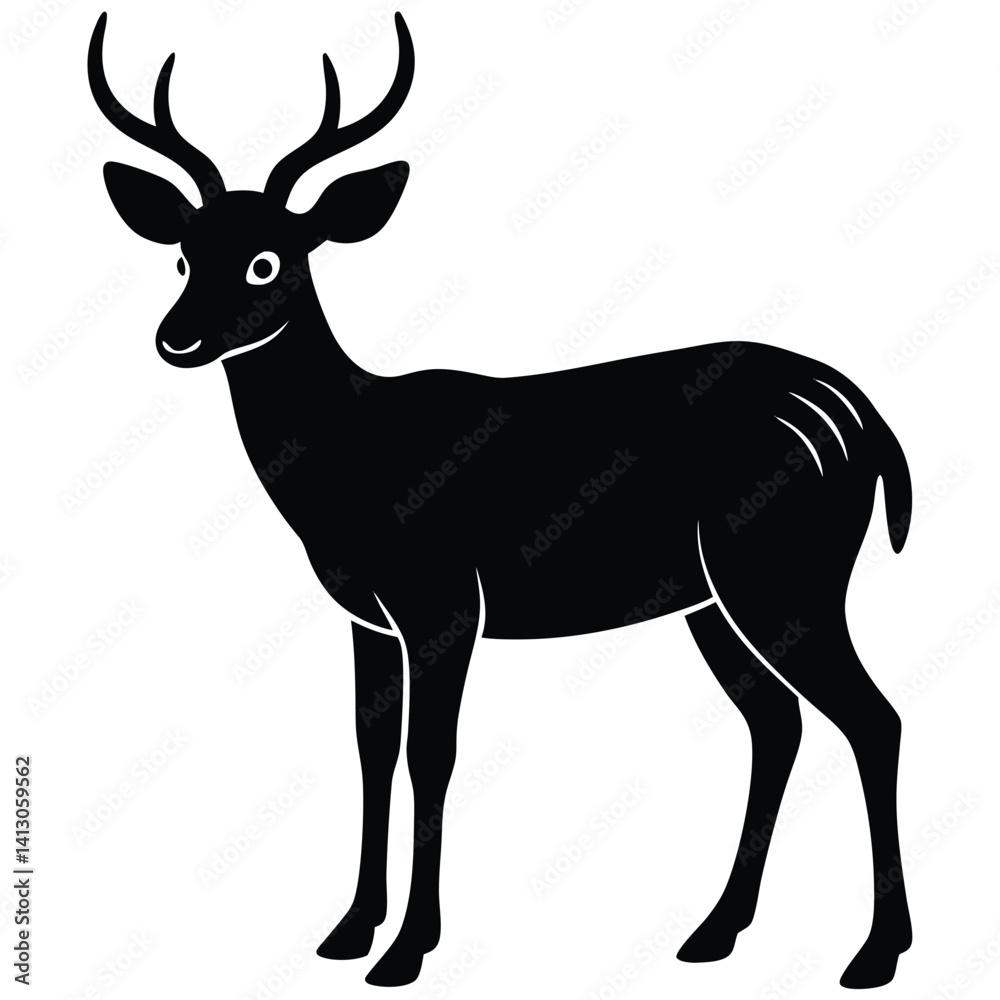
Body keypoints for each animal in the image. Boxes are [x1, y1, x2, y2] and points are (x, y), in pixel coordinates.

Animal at [88, 10, 913, 990]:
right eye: (182, 255)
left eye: (265, 260)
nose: (176, 338)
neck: (353, 461)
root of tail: (864, 419)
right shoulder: (368, 616)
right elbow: (369, 749)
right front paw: (348, 930)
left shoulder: (443, 600)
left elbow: (430, 756)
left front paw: (407, 950)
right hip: (715, 599)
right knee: (777, 723)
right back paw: (715, 932)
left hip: (783, 573)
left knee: (874, 718)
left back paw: (875, 953)